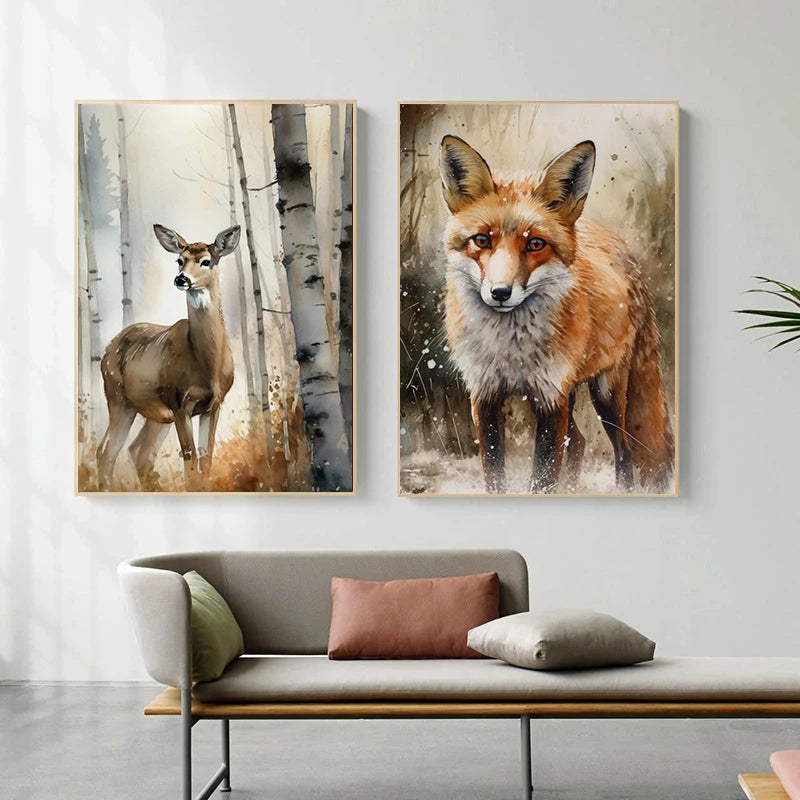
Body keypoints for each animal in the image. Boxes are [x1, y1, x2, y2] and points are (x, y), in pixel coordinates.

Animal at [96, 224, 241, 491]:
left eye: (206, 261)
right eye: (179, 260)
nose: (181, 279)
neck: (208, 367)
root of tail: (108, 349)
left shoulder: (214, 405)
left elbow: (206, 458)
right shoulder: (179, 402)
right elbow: (190, 458)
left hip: (156, 414)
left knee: (139, 452)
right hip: (118, 397)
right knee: (107, 451)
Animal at [440, 134, 674, 494]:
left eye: (535, 244)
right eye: (481, 240)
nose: (500, 293)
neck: (511, 351)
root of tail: (620, 246)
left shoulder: (551, 398)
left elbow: (542, 476)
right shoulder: (484, 394)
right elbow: (495, 475)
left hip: (606, 393)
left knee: (623, 451)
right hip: (573, 392)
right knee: (578, 442)